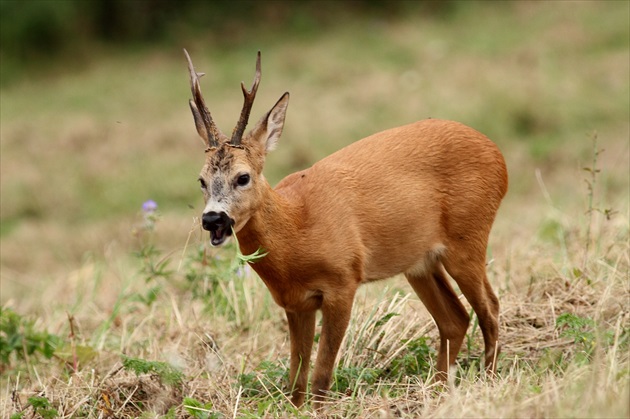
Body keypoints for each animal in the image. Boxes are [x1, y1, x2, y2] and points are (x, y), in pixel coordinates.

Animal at [183, 49, 508, 410]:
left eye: (243, 177)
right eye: (201, 180)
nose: (213, 219)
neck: (296, 227)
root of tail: (497, 154)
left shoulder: (343, 280)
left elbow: (321, 374)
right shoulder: (295, 302)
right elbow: (296, 380)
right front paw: (298, 410)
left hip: (469, 237)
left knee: (490, 308)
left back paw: (489, 381)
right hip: (420, 262)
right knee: (455, 319)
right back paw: (436, 393)